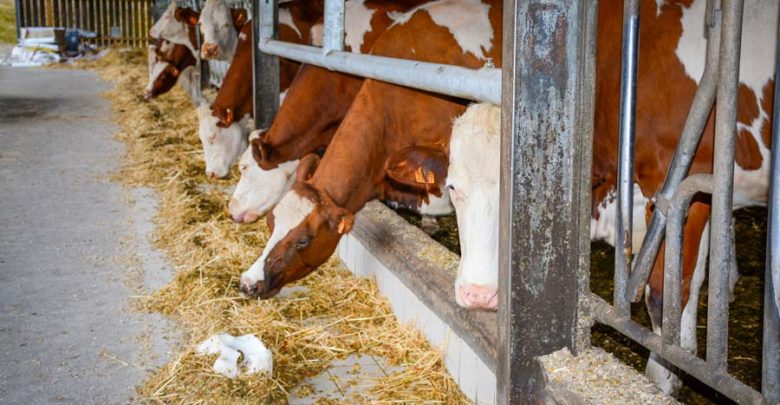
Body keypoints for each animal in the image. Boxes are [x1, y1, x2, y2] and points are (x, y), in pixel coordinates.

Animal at [444, 0, 772, 394]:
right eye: (451, 186)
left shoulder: (683, 186)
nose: (478, 294)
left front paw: (662, 380)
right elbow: (692, 281)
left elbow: (666, 293)